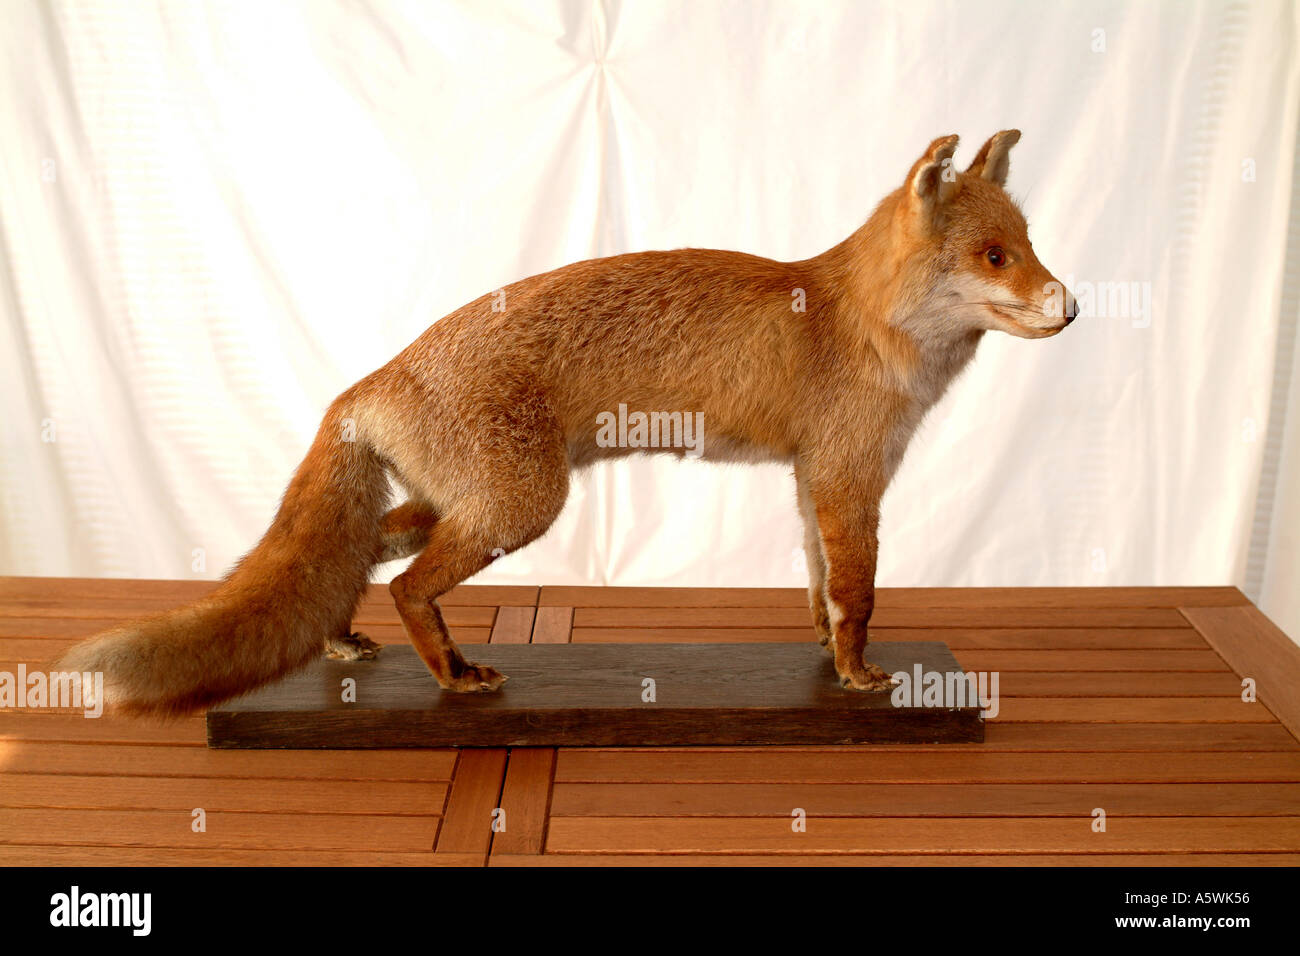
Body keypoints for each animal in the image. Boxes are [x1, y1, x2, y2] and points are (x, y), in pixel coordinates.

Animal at [55, 129, 1077, 717]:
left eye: (1030, 245)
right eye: (994, 256)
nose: (1070, 307)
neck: (863, 323)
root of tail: (376, 378)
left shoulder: (810, 480)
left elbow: (823, 591)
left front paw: (828, 663)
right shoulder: (847, 476)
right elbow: (858, 592)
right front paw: (861, 678)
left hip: (459, 502)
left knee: (361, 551)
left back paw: (343, 640)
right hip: (517, 507)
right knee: (408, 584)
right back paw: (452, 677)